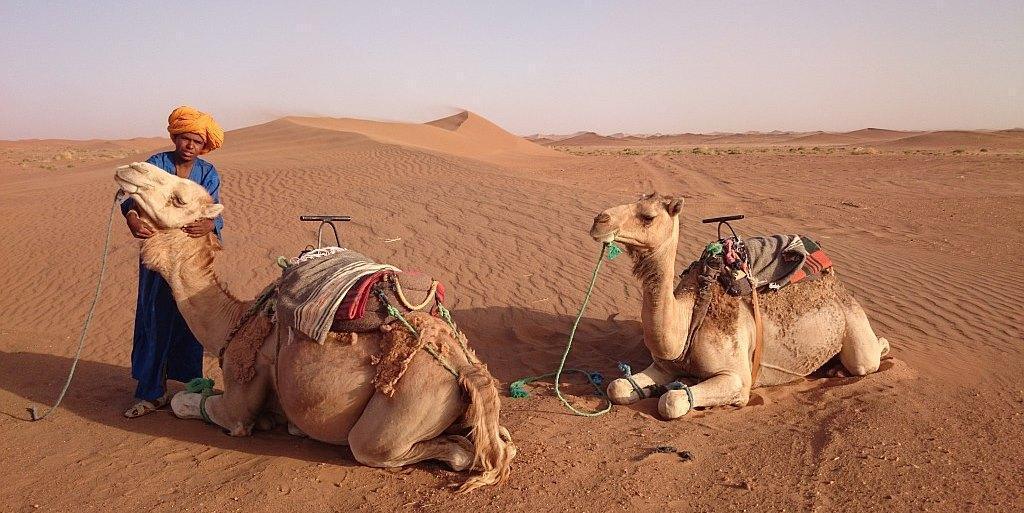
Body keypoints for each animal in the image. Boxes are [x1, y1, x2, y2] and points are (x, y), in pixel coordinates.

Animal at [114, 161, 512, 489]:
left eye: (178, 198)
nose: (130, 168)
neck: (230, 320)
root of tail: (464, 366)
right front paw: (279, 422)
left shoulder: (241, 395)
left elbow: (187, 402)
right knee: (499, 441)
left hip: (401, 411)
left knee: (418, 450)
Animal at [589, 193, 892, 417]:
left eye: (648, 217)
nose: (599, 219)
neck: (690, 315)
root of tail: (836, 283)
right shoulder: (664, 366)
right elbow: (617, 387)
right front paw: (648, 389)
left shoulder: (737, 378)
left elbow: (672, 402)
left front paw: (673, 391)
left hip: (854, 323)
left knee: (867, 359)